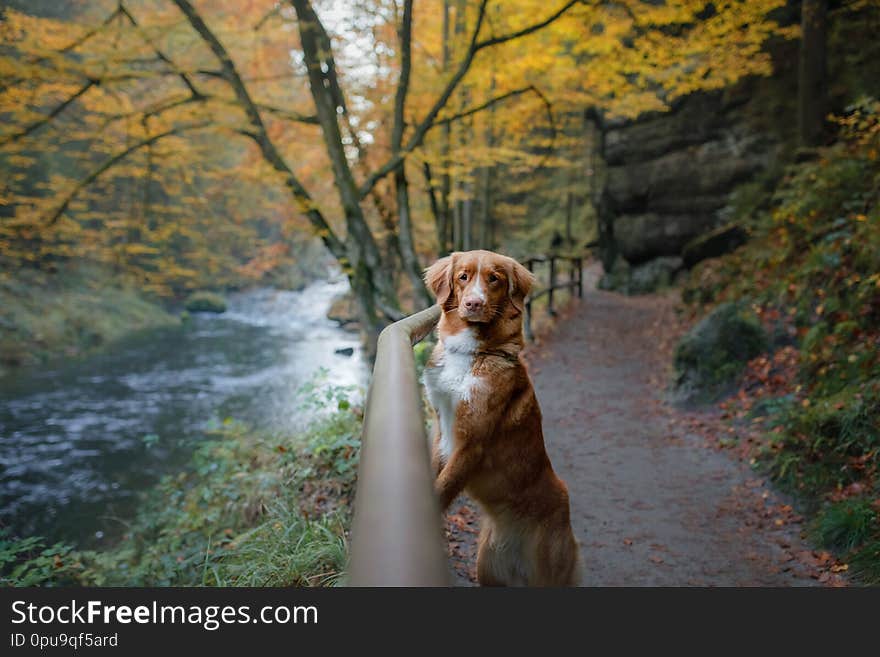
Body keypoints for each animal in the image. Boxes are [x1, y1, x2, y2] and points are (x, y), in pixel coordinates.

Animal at [424, 250, 580, 584]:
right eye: (463, 277)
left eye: (494, 279)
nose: (474, 303)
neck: (470, 354)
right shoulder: (441, 430)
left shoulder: (472, 444)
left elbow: (442, 488)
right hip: (487, 567)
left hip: (549, 571)